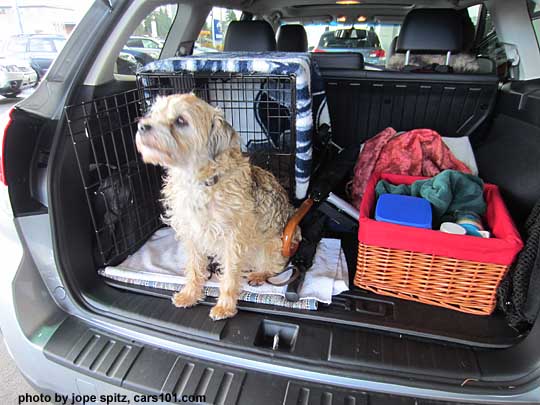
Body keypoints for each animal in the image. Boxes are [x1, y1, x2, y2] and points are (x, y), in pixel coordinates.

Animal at [134, 92, 296, 318]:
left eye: (180, 120)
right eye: (154, 113)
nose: (142, 126)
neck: (197, 179)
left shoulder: (232, 239)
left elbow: (229, 276)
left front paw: (225, 306)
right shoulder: (191, 234)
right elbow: (194, 268)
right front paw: (190, 294)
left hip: (271, 246)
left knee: (273, 266)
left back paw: (258, 274)